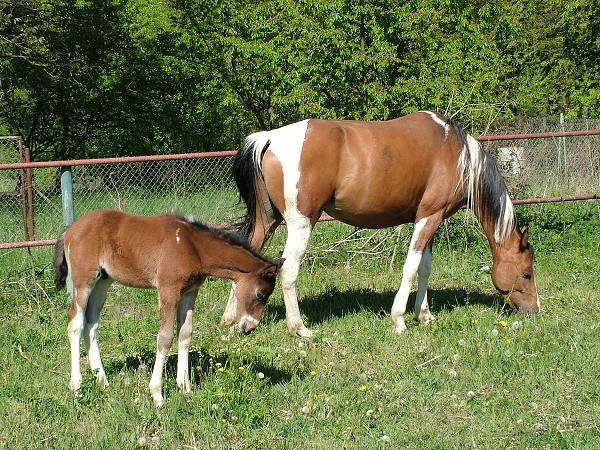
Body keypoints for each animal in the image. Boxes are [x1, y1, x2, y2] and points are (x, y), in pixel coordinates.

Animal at [53, 209, 284, 406]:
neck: (193, 247)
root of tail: (70, 228)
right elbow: (165, 338)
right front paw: (157, 394)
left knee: (91, 324)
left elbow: (185, 334)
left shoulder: (189, 292)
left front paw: (185, 387)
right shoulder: (168, 290)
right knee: (75, 323)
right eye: (261, 294)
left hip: (103, 280)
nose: (250, 327)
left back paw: (103, 381)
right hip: (84, 280)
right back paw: (77, 387)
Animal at [223, 111, 540, 338]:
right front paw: (399, 318)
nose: (535, 310)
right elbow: (410, 267)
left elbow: (424, 268)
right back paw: (299, 328)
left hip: (268, 220)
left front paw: (424, 314)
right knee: (288, 270)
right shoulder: (429, 217)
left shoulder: (431, 219)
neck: (457, 153)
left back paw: (231, 320)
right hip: (300, 224)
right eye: (526, 273)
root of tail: (270, 139)